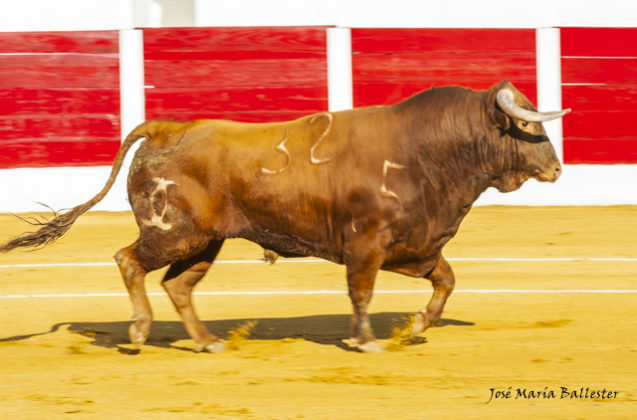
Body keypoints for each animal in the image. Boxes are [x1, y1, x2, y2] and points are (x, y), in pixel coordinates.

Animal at [0, 80, 568, 352]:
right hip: (173, 234)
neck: (428, 151)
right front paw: (367, 341)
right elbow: (361, 293)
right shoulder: (365, 246)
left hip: (206, 242)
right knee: (128, 260)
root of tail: (167, 128)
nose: (558, 167)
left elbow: (446, 279)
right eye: (527, 126)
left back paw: (206, 342)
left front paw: (417, 326)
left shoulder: (414, 245)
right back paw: (140, 331)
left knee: (178, 286)